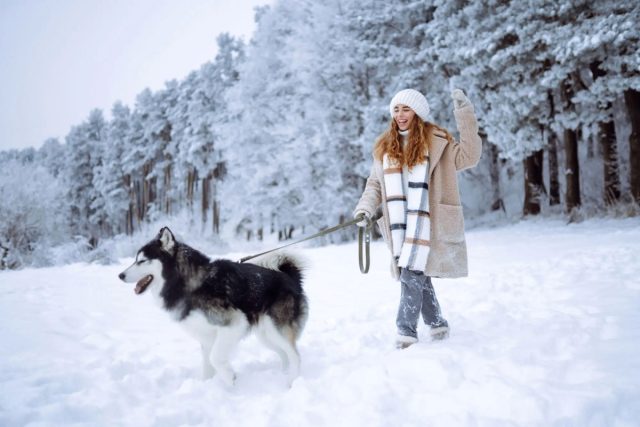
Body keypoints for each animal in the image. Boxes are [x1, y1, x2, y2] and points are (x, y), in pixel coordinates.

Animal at [122, 229, 310, 386]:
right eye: (136, 260)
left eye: (142, 261)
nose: (120, 275)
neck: (193, 283)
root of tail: (289, 277)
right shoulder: (206, 337)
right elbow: (207, 365)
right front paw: (207, 387)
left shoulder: (234, 323)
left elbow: (215, 358)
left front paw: (229, 378)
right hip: (267, 335)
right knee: (284, 354)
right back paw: (283, 374)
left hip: (276, 330)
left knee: (295, 356)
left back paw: (292, 382)